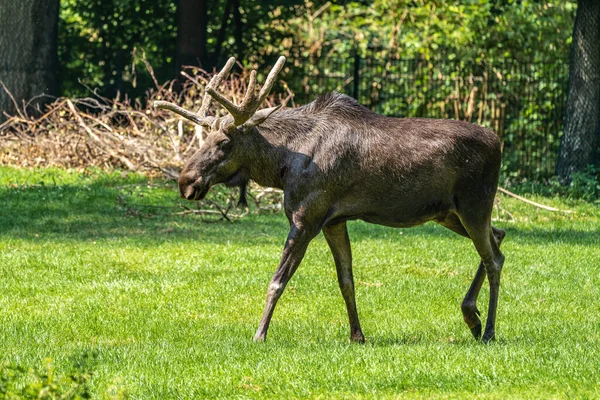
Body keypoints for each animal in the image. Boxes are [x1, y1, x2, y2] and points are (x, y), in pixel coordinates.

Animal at [156, 57, 506, 344]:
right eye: (205, 138)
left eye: (224, 142)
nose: (186, 182)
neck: (281, 165)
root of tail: (499, 143)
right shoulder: (334, 221)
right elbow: (346, 280)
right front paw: (357, 335)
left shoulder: (307, 218)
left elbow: (277, 281)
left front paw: (259, 334)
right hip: (448, 213)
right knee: (499, 236)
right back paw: (471, 317)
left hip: (474, 204)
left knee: (493, 258)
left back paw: (488, 329)